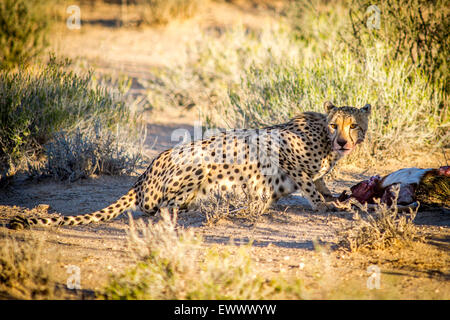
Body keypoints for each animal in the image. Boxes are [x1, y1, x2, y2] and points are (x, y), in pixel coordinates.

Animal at [8, 101, 370, 229]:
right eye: (335, 125)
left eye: (354, 125)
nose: (343, 142)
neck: (323, 139)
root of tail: (141, 176)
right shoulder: (277, 148)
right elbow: (309, 184)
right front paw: (330, 207)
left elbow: (321, 182)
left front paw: (340, 198)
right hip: (197, 163)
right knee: (162, 209)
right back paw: (207, 206)